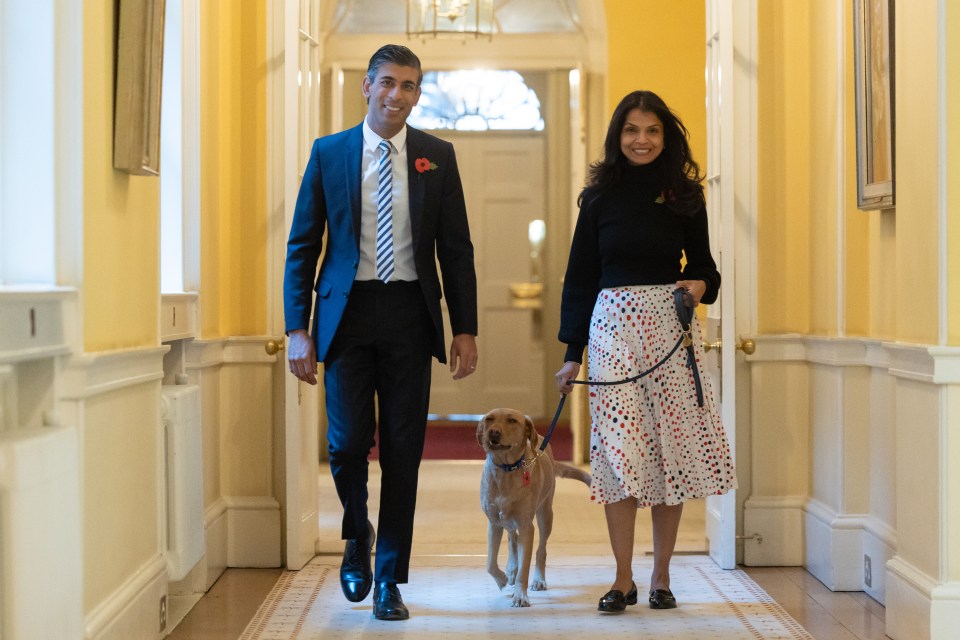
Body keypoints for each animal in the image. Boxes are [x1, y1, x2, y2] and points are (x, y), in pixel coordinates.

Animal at [474, 408, 588, 608]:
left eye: (512, 420)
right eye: (489, 419)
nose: (493, 433)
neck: (506, 470)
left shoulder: (527, 527)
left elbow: (525, 566)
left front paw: (520, 595)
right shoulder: (494, 524)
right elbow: (490, 563)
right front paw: (503, 580)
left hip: (545, 515)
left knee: (541, 550)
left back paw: (539, 579)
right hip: (508, 520)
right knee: (512, 538)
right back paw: (511, 569)